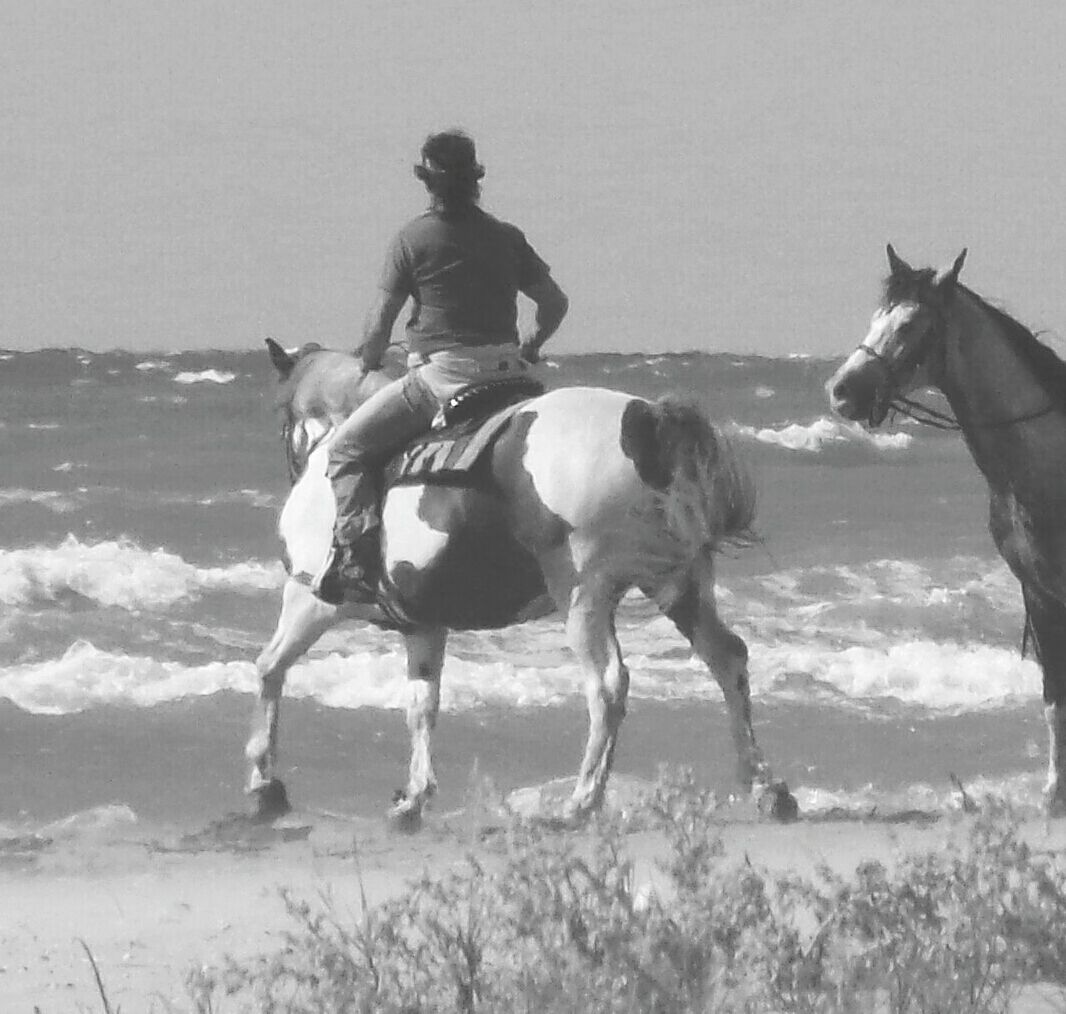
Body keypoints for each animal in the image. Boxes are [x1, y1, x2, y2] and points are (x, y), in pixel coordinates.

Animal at [247, 336, 793, 827]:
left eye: (281, 414)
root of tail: (649, 421)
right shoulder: (424, 625)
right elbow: (421, 706)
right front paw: (414, 798)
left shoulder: (309, 598)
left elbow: (269, 668)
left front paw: (263, 783)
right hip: (681, 584)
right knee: (728, 660)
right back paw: (766, 788)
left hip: (585, 596)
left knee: (608, 685)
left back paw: (581, 802)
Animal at [827, 247, 1066, 818]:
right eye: (876, 316)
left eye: (911, 325)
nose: (841, 391)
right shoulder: (1040, 594)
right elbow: (1054, 697)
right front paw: (1054, 796)